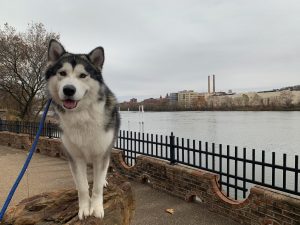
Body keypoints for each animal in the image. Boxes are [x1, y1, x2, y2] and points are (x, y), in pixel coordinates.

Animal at [44, 39, 119, 219]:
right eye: (62, 73)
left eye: (83, 75)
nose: (69, 89)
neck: (82, 115)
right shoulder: (75, 156)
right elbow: (83, 187)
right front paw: (85, 208)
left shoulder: (101, 153)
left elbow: (97, 186)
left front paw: (97, 208)